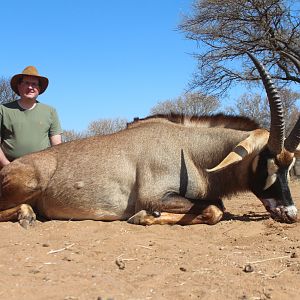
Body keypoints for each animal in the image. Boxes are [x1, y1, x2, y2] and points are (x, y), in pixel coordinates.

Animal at [0, 54, 298, 227]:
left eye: (289, 166)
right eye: (267, 163)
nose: (291, 213)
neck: (191, 151)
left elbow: (217, 207)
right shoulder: (155, 196)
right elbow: (215, 209)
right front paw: (143, 216)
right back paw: (26, 214)